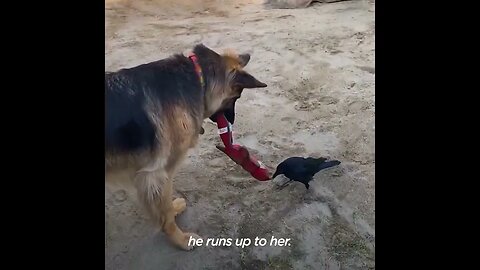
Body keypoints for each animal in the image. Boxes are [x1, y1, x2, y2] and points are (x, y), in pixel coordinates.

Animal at [105, 43, 268, 249]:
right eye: (236, 97)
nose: (231, 121)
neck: (199, 79)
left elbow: (166, 207)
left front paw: (175, 210)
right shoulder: (159, 173)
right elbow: (165, 211)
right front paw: (180, 239)